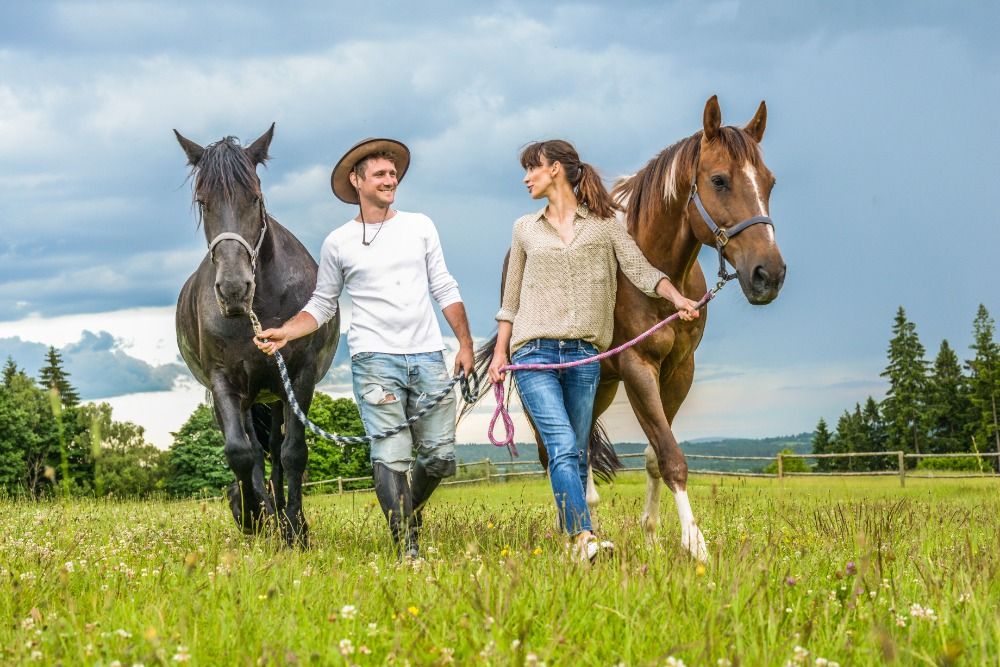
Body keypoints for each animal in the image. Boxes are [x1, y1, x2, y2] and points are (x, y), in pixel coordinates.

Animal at [174, 126, 338, 548]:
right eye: (203, 202)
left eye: (255, 197)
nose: (234, 290)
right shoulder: (224, 383)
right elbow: (239, 453)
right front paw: (252, 518)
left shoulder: (300, 378)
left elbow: (293, 453)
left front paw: (296, 530)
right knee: (251, 448)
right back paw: (263, 514)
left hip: (276, 396)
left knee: (277, 452)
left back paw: (280, 517)